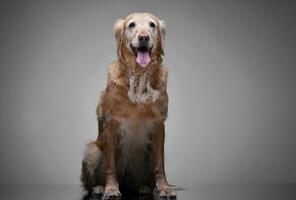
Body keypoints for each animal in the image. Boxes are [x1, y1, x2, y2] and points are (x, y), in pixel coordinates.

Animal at [80, 13, 176, 199]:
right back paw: (99, 187)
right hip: (92, 150)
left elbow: (160, 165)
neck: (139, 75)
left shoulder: (159, 125)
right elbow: (111, 166)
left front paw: (164, 188)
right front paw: (111, 188)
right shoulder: (111, 124)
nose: (144, 37)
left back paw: (145, 187)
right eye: (132, 25)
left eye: (152, 25)